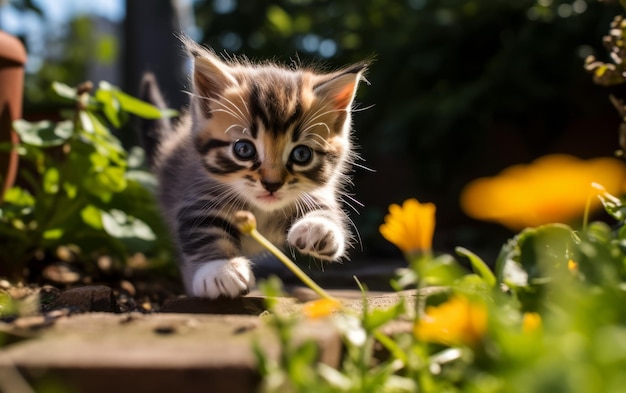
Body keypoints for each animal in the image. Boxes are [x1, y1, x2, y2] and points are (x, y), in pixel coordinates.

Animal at [140, 38, 368, 298]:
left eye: (302, 154)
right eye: (244, 149)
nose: (272, 184)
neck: (260, 212)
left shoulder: (316, 192)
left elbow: (325, 208)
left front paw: (319, 227)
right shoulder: (196, 193)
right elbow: (203, 229)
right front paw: (221, 268)